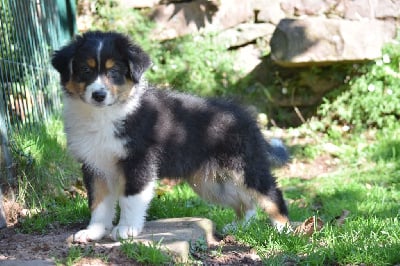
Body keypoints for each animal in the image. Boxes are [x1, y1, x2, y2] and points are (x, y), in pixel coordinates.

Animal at [51, 31, 290, 243]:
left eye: (114, 71)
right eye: (85, 69)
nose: (98, 95)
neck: (104, 115)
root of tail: (246, 117)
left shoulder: (140, 161)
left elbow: (131, 198)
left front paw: (126, 229)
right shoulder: (95, 165)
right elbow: (98, 202)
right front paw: (94, 232)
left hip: (245, 168)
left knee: (271, 193)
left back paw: (283, 230)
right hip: (211, 183)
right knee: (247, 202)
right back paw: (239, 227)